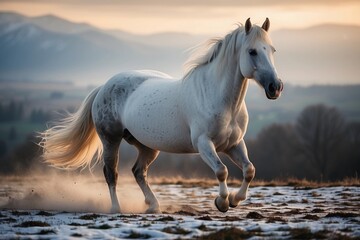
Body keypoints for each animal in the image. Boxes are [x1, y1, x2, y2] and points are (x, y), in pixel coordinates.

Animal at [38, 18, 282, 213]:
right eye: (252, 51)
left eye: (272, 50)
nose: (275, 87)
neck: (217, 97)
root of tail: (104, 86)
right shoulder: (204, 143)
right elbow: (221, 171)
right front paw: (221, 202)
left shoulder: (233, 144)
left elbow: (249, 170)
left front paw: (235, 200)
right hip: (110, 140)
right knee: (111, 173)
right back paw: (116, 208)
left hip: (147, 146)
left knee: (138, 172)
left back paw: (153, 205)